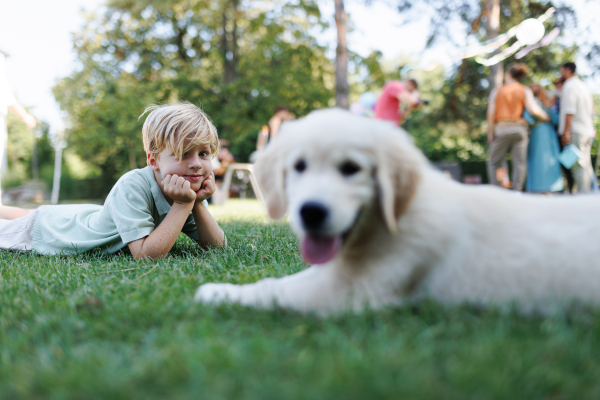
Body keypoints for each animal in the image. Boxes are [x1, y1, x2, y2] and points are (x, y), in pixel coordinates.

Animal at [195, 108, 600, 314]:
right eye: (299, 167)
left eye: (351, 169)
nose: (311, 212)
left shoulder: (353, 291)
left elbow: (275, 290)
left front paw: (216, 293)